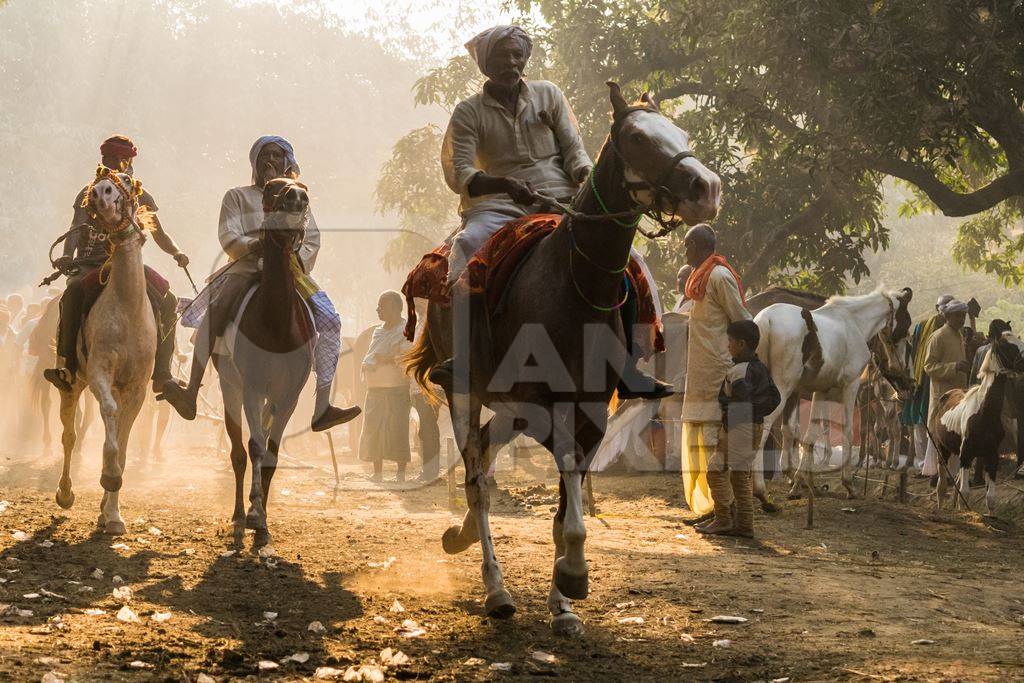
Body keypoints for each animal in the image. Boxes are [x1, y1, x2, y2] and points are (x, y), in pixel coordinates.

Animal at [55, 169, 156, 532]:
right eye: (96, 187)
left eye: (126, 179)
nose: (101, 192)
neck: (127, 308)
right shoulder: (100, 373)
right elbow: (110, 415)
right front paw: (109, 476)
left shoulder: (137, 388)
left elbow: (124, 444)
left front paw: (112, 514)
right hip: (72, 383)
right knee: (69, 435)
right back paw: (65, 493)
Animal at [407, 83, 720, 634]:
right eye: (637, 138)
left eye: (680, 133)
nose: (707, 188)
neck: (576, 286)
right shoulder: (546, 407)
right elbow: (567, 505)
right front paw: (573, 576)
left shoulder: (591, 410)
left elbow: (563, 509)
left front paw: (563, 603)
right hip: (466, 392)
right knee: (476, 476)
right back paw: (495, 589)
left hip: (511, 407)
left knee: (485, 454)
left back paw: (462, 536)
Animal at [753, 286, 913, 505]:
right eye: (907, 324)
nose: (905, 377)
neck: (854, 323)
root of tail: (766, 320)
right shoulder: (851, 386)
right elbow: (847, 430)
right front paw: (848, 484)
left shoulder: (820, 390)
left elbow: (808, 434)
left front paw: (800, 481)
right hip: (781, 389)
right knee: (764, 424)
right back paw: (760, 490)